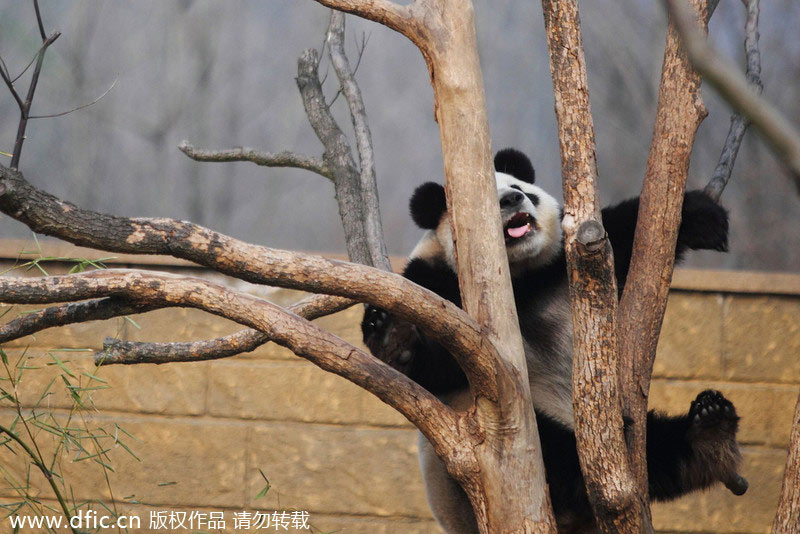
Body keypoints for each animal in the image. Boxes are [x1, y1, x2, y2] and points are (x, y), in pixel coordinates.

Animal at [360, 149, 748, 534]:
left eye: (522, 190)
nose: (512, 200)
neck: (517, 277)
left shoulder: (567, 258)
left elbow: (623, 231)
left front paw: (703, 217)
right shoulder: (433, 281)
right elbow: (440, 364)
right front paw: (392, 336)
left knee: (659, 443)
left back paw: (709, 433)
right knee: (555, 453)